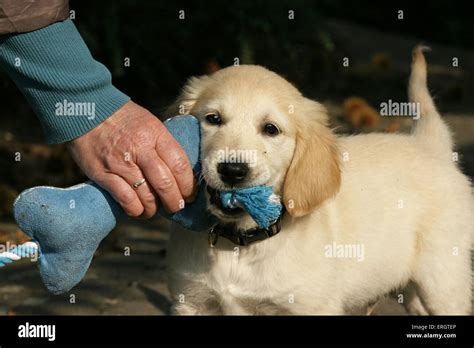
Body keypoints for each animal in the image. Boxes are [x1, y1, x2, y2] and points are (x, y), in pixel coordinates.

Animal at [165, 47, 472, 316]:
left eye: (270, 129)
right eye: (213, 119)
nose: (232, 170)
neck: (240, 244)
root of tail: (429, 145)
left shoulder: (311, 306)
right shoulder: (191, 302)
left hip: (443, 277)